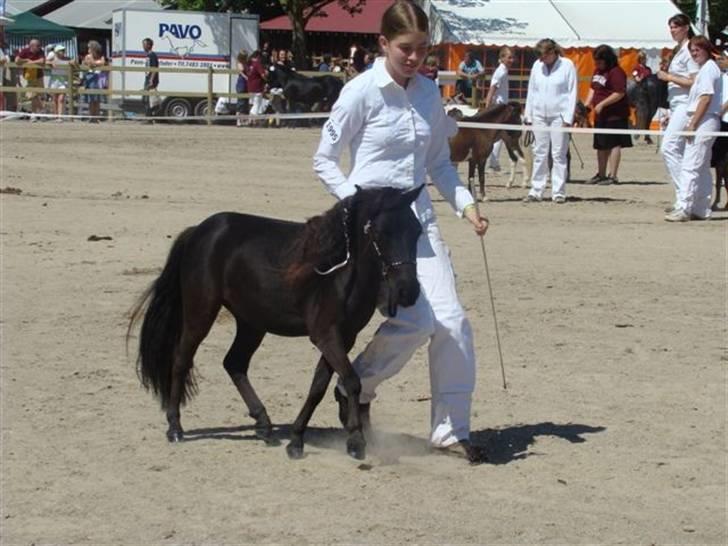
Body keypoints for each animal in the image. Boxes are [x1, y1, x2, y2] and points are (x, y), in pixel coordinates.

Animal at [128, 185, 424, 456]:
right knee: (181, 359)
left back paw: (264, 425)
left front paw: (296, 439)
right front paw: (355, 441)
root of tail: (199, 231)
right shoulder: (326, 335)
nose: (408, 291)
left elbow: (318, 386)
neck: (337, 273)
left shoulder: (344, 337)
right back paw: (175, 428)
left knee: (234, 363)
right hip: (200, 311)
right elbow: (351, 380)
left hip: (251, 322)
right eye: (381, 233)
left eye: (417, 231)